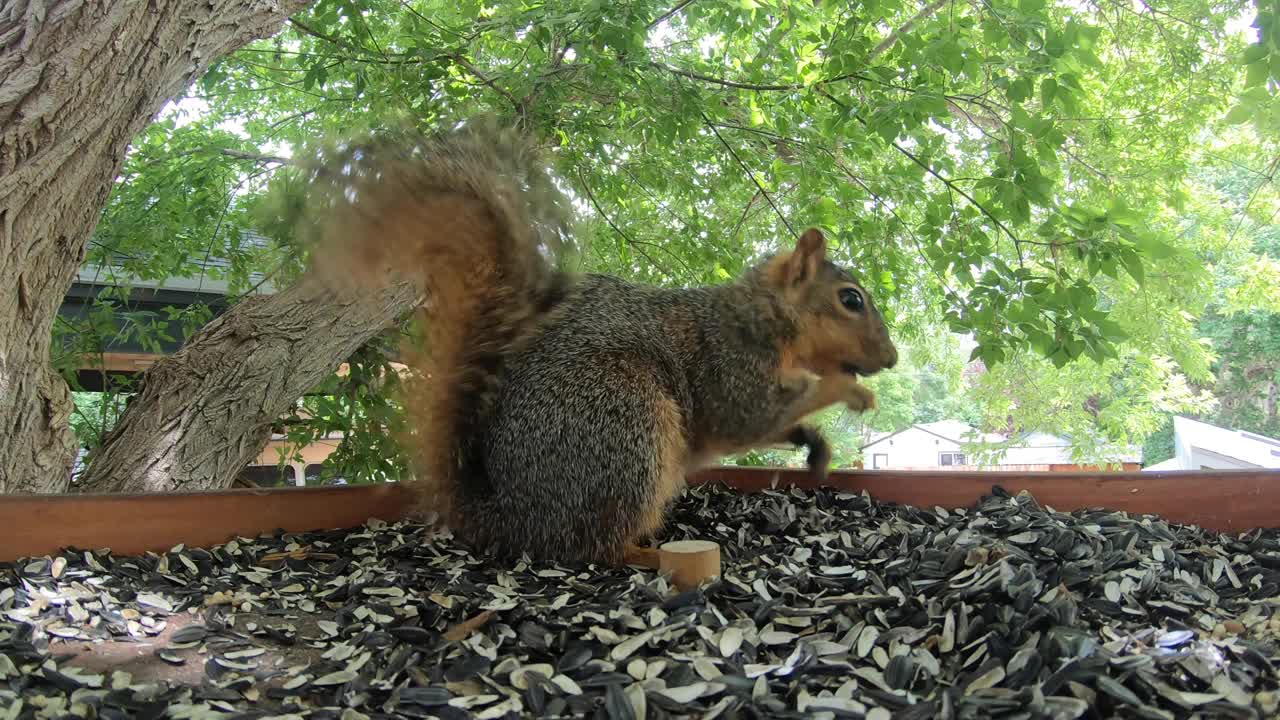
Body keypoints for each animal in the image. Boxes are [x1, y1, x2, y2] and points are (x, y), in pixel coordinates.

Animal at [299, 116, 901, 566]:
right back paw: (649, 555)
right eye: (851, 299)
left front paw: (814, 442)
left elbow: (776, 426)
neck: (767, 319)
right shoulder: (731, 364)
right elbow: (752, 418)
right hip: (625, 420)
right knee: (595, 547)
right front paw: (849, 389)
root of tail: (511, 519)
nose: (891, 359)